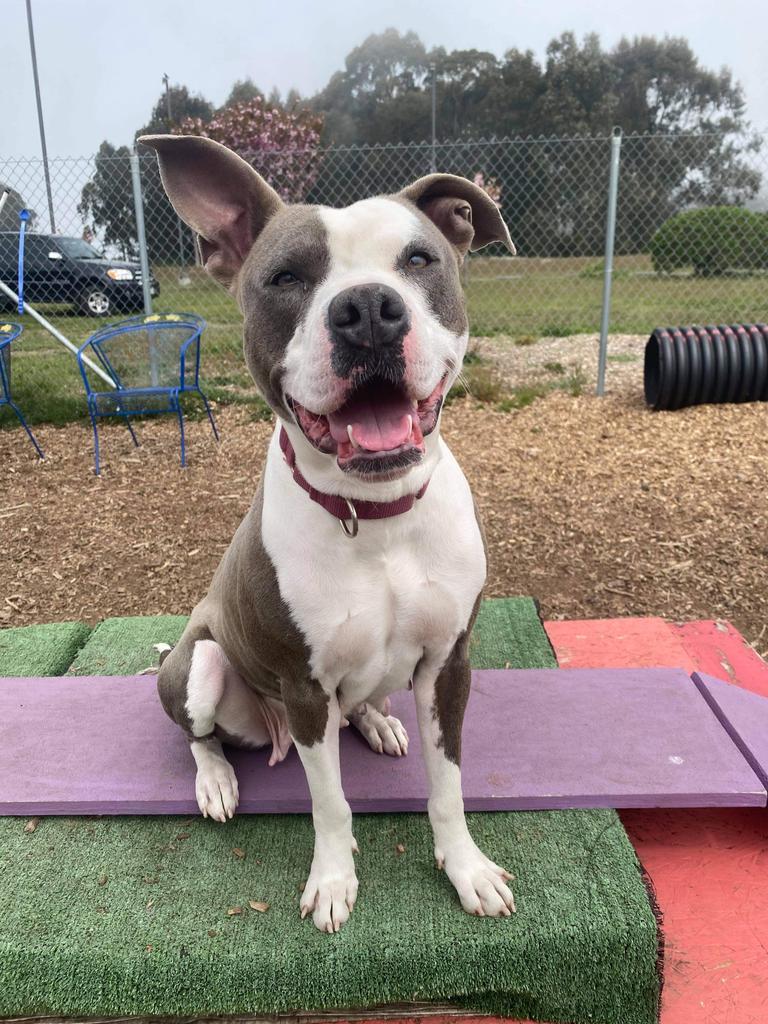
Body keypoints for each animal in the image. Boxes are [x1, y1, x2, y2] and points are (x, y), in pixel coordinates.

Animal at [142, 134, 520, 929]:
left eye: (419, 259)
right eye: (286, 277)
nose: (368, 309)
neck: (374, 515)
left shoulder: (450, 664)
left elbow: (448, 786)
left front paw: (466, 867)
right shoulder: (305, 686)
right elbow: (331, 802)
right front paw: (334, 880)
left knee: (366, 703)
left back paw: (376, 720)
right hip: (203, 665)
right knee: (198, 735)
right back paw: (216, 779)